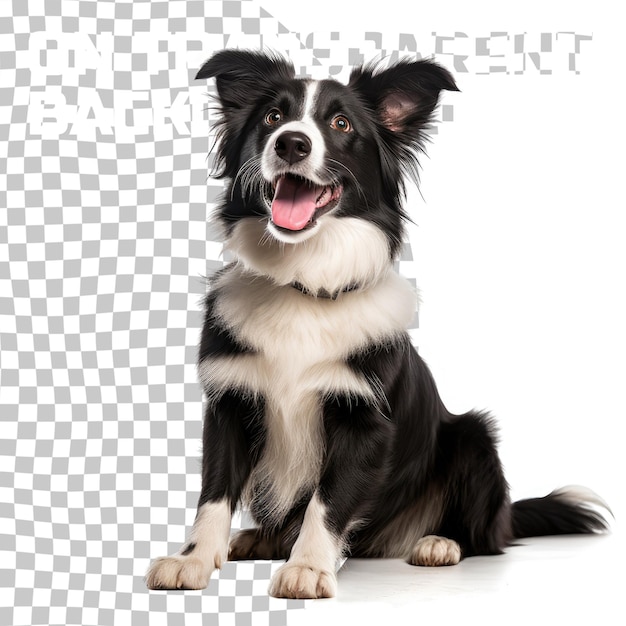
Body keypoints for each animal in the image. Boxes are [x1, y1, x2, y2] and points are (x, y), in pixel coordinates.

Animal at [145, 47, 604, 596]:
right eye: (272, 117)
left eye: (341, 123)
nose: (291, 143)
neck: (303, 283)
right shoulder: (229, 404)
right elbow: (214, 491)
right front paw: (193, 558)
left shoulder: (363, 420)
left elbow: (327, 500)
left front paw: (308, 567)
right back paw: (261, 537)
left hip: (473, 439)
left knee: (486, 534)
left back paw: (440, 542)